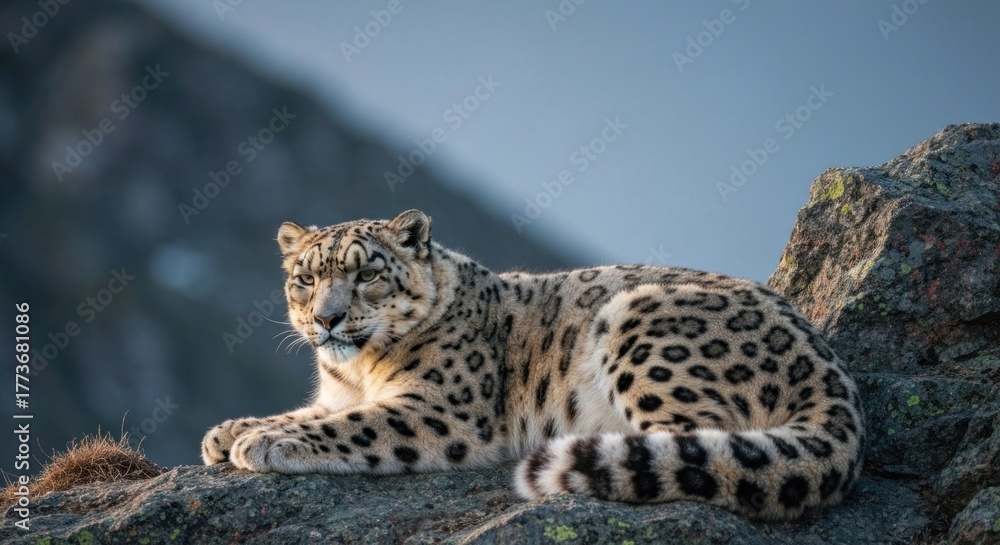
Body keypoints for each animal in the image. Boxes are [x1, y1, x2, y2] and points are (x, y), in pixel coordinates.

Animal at [202, 209, 865, 521]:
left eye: (367, 273)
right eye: (306, 278)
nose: (328, 319)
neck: (358, 371)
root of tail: (830, 366)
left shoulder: (440, 408)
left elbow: (349, 425)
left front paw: (265, 441)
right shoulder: (333, 395)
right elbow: (312, 412)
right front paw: (229, 431)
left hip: (640, 328)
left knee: (699, 445)